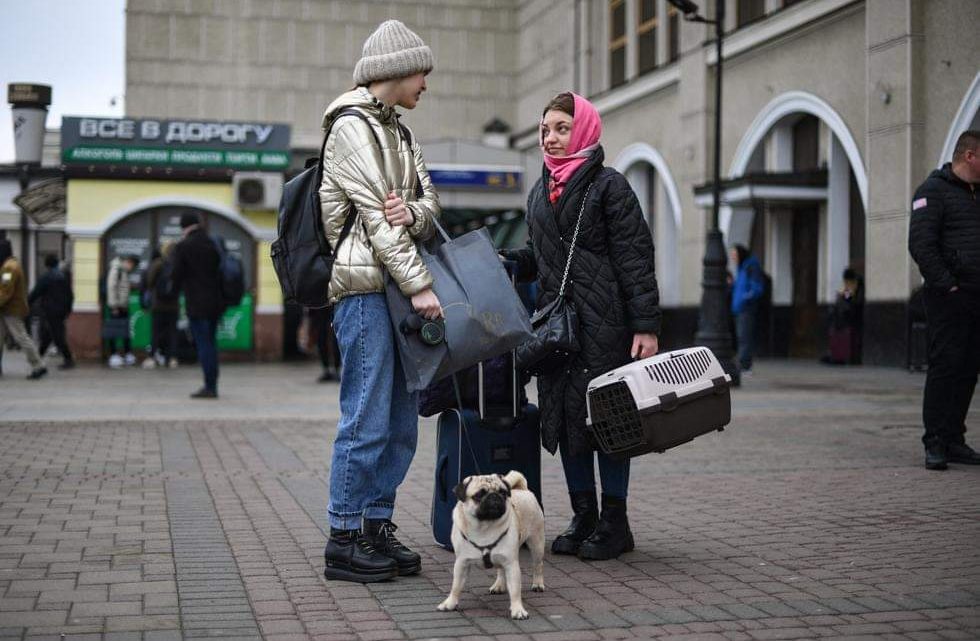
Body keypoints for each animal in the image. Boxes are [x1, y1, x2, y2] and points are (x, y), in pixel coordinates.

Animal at [436, 472, 544, 616]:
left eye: (503, 493)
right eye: (479, 495)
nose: (494, 496)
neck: (484, 527)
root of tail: (523, 490)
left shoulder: (512, 564)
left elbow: (515, 590)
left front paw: (517, 610)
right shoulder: (461, 562)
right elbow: (456, 586)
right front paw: (450, 603)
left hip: (536, 543)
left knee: (538, 565)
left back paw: (538, 584)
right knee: (501, 570)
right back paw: (499, 585)